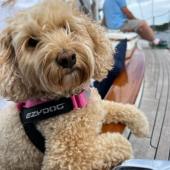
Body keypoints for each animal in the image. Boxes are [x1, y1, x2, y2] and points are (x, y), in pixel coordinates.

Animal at [0, 0, 149, 169]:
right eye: (32, 42)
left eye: (67, 27)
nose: (67, 58)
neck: (73, 98)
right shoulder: (68, 157)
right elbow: (116, 144)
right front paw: (121, 141)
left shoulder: (98, 106)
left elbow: (118, 106)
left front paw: (141, 123)